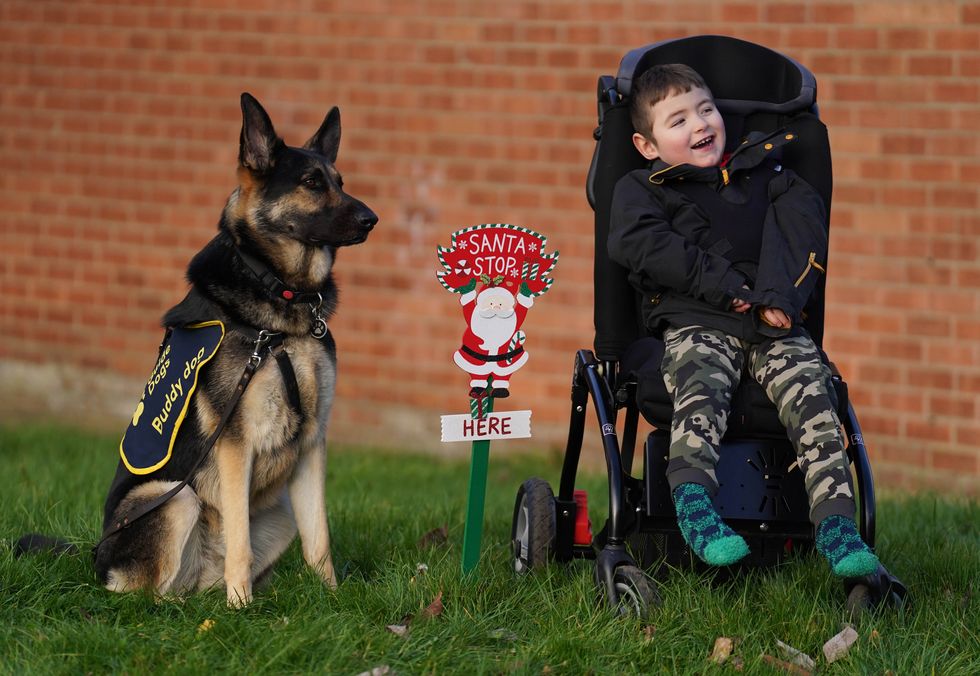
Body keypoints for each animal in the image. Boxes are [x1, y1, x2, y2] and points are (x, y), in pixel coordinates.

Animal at [87, 92, 376, 604]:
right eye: (310, 182)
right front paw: (242, 607)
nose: (372, 220)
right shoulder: (235, 446)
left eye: (340, 182)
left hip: (278, 514)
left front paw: (332, 597)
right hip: (174, 497)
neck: (282, 297)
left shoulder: (313, 443)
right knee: (152, 594)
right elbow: (240, 538)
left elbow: (319, 537)